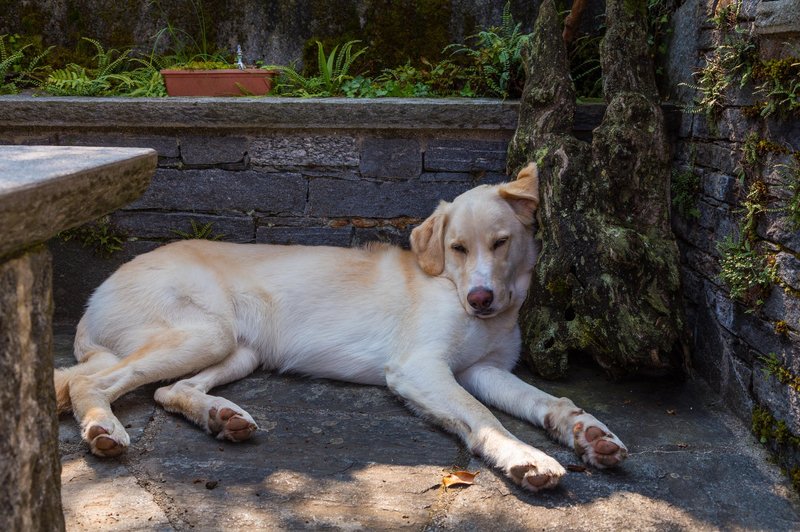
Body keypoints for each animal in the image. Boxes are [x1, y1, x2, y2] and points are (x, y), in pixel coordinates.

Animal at [57, 164, 632, 492]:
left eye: (501, 242)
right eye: (457, 248)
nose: (480, 299)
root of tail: (94, 300)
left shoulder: (483, 370)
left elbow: (545, 401)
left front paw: (587, 432)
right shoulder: (419, 368)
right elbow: (483, 418)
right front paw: (526, 457)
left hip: (238, 349)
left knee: (169, 391)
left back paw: (221, 416)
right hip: (202, 335)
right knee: (93, 383)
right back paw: (103, 429)